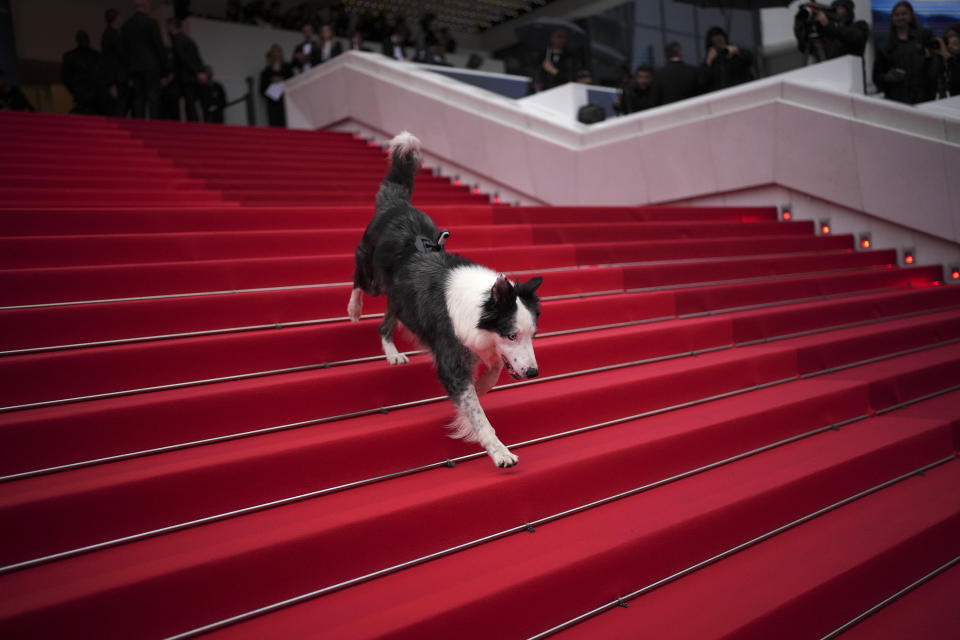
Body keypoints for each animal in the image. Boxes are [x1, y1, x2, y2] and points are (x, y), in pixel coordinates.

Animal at [344, 132, 544, 468]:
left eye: (532, 335)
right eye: (511, 335)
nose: (533, 373)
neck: (479, 302)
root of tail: (397, 203)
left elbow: (491, 373)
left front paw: (477, 393)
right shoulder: (451, 355)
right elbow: (476, 410)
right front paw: (499, 451)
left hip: (400, 301)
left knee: (385, 325)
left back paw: (392, 353)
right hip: (373, 275)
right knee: (359, 280)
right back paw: (355, 308)